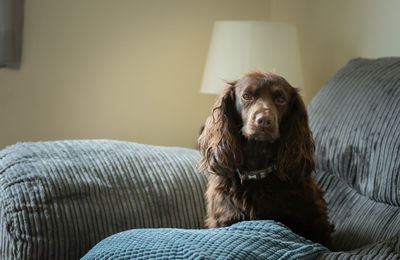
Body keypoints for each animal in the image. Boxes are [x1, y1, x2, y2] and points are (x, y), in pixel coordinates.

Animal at [198, 71, 332, 248]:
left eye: (281, 99)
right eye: (247, 96)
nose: (264, 120)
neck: (257, 170)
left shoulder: (312, 217)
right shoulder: (225, 217)